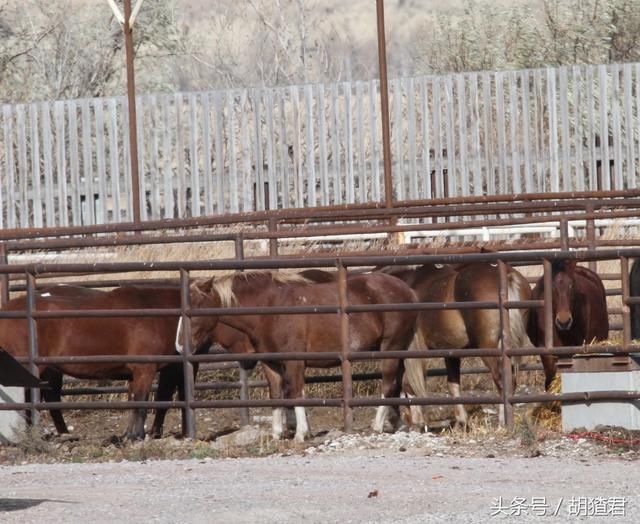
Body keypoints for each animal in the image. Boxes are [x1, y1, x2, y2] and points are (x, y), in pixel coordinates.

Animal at [0, 284, 190, 440]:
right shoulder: (145, 370)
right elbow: (141, 403)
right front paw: (137, 436)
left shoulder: (135, 374)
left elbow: (133, 403)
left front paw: (129, 435)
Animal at [185, 270, 424, 442]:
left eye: (198, 307)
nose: (182, 344)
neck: (271, 309)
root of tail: (408, 291)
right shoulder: (271, 364)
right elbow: (277, 396)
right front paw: (277, 433)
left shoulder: (295, 362)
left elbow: (296, 394)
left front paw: (301, 434)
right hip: (399, 351)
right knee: (400, 384)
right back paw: (402, 424)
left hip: (390, 348)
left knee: (388, 385)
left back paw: (377, 425)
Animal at [384, 262, 536, 430]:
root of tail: (507, 276)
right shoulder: (450, 352)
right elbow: (453, 384)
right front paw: (461, 422)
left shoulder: (413, 352)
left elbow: (407, 384)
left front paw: (418, 423)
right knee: (511, 380)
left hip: (488, 347)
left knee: (501, 380)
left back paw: (503, 422)